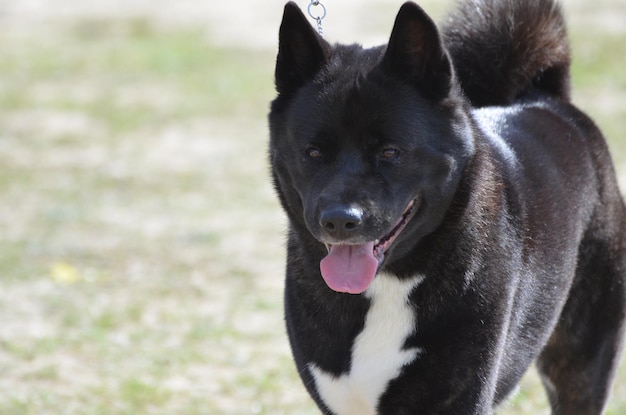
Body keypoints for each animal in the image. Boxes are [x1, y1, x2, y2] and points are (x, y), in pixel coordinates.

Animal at [266, 0, 624, 412]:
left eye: (390, 152)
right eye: (313, 152)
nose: (340, 221)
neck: (388, 284)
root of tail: (546, 99)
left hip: (583, 366)